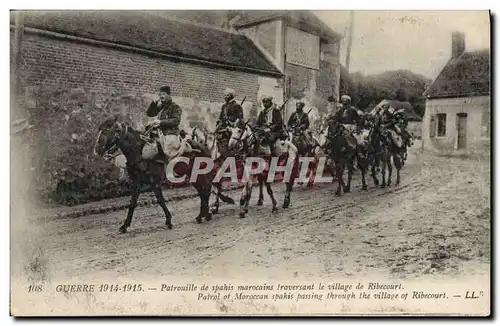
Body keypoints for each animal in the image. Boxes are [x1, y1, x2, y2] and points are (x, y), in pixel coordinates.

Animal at [92, 116, 227, 233]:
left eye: (106, 130)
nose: (96, 150)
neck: (139, 152)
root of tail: (202, 146)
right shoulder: (136, 183)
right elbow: (132, 204)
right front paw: (125, 226)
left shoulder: (154, 182)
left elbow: (160, 200)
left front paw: (168, 221)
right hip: (193, 177)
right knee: (203, 192)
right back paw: (203, 215)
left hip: (199, 175)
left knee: (206, 190)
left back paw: (206, 214)